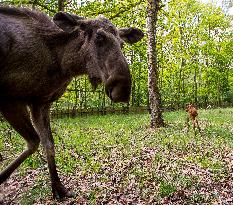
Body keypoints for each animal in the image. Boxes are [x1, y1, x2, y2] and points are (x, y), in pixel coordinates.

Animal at [0, 7, 144, 199]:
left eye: (122, 44)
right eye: (99, 37)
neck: (61, 63)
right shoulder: (9, 99)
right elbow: (34, 141)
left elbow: (47, 144)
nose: (122, 90)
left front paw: (58, 188)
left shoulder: (41, 103)